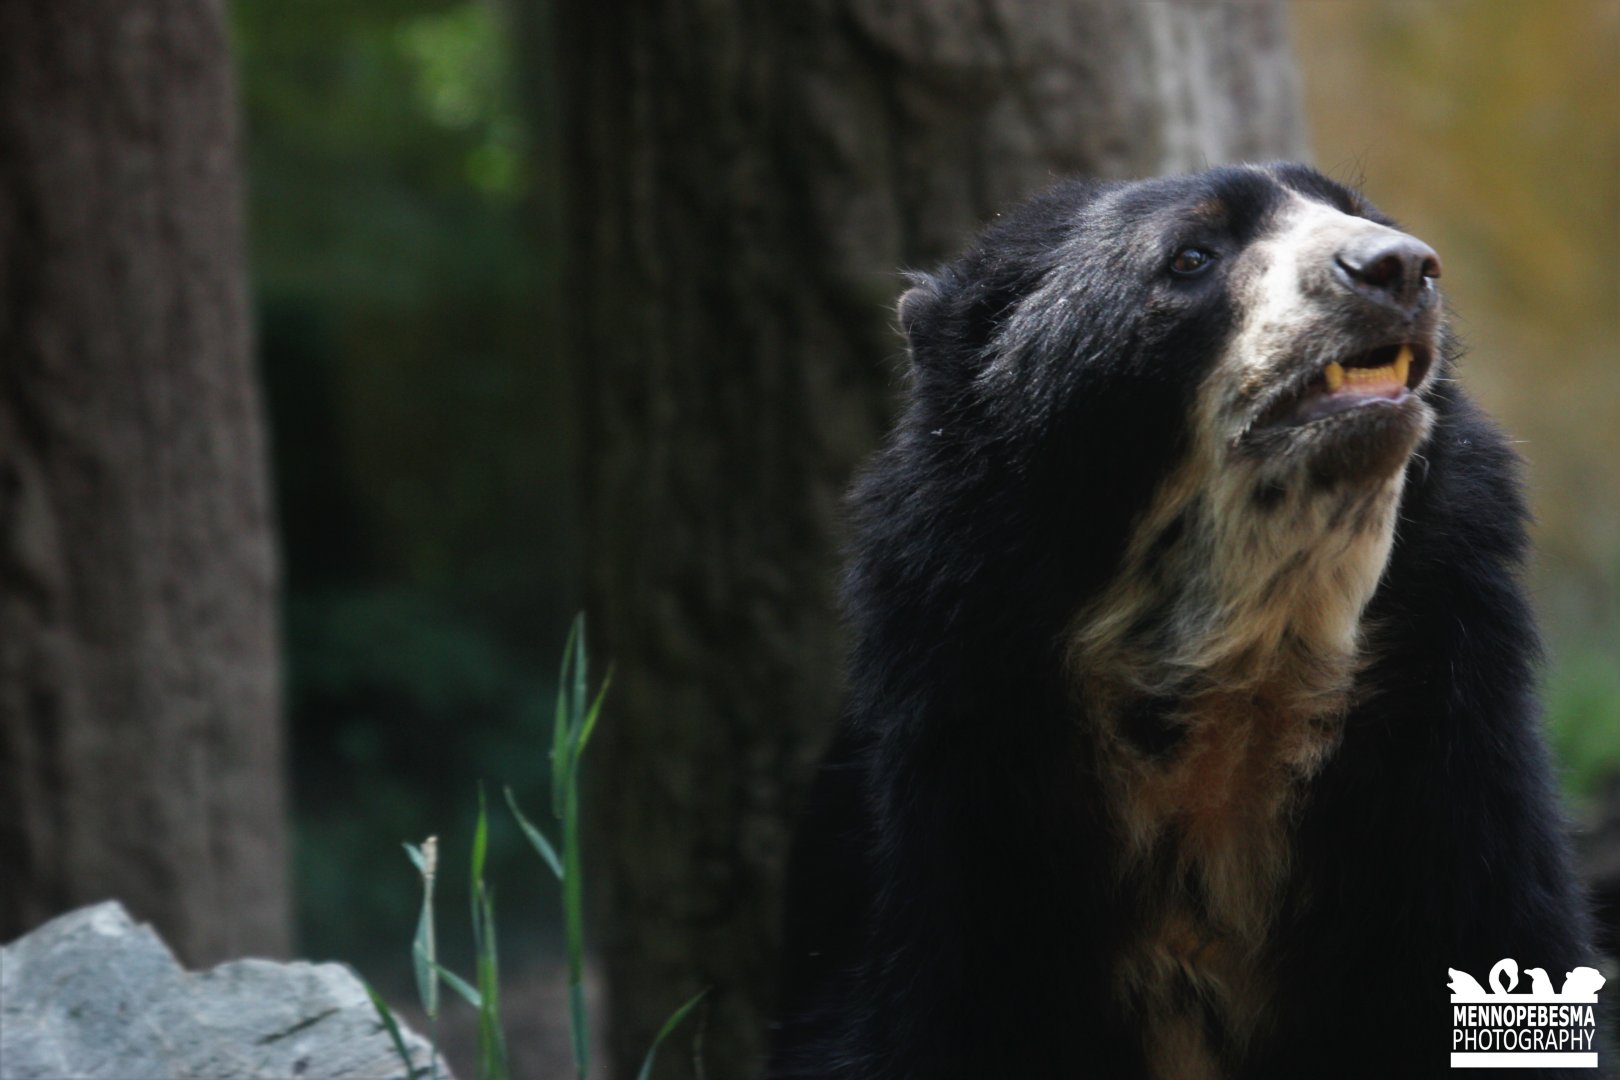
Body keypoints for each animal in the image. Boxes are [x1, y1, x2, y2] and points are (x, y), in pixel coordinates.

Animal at [768, 163, 1599, 1079]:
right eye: (1192, 256)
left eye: (1359, 213)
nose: (1400, 266)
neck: (1232, 687)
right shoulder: (957, 825)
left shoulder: (1455, 785)